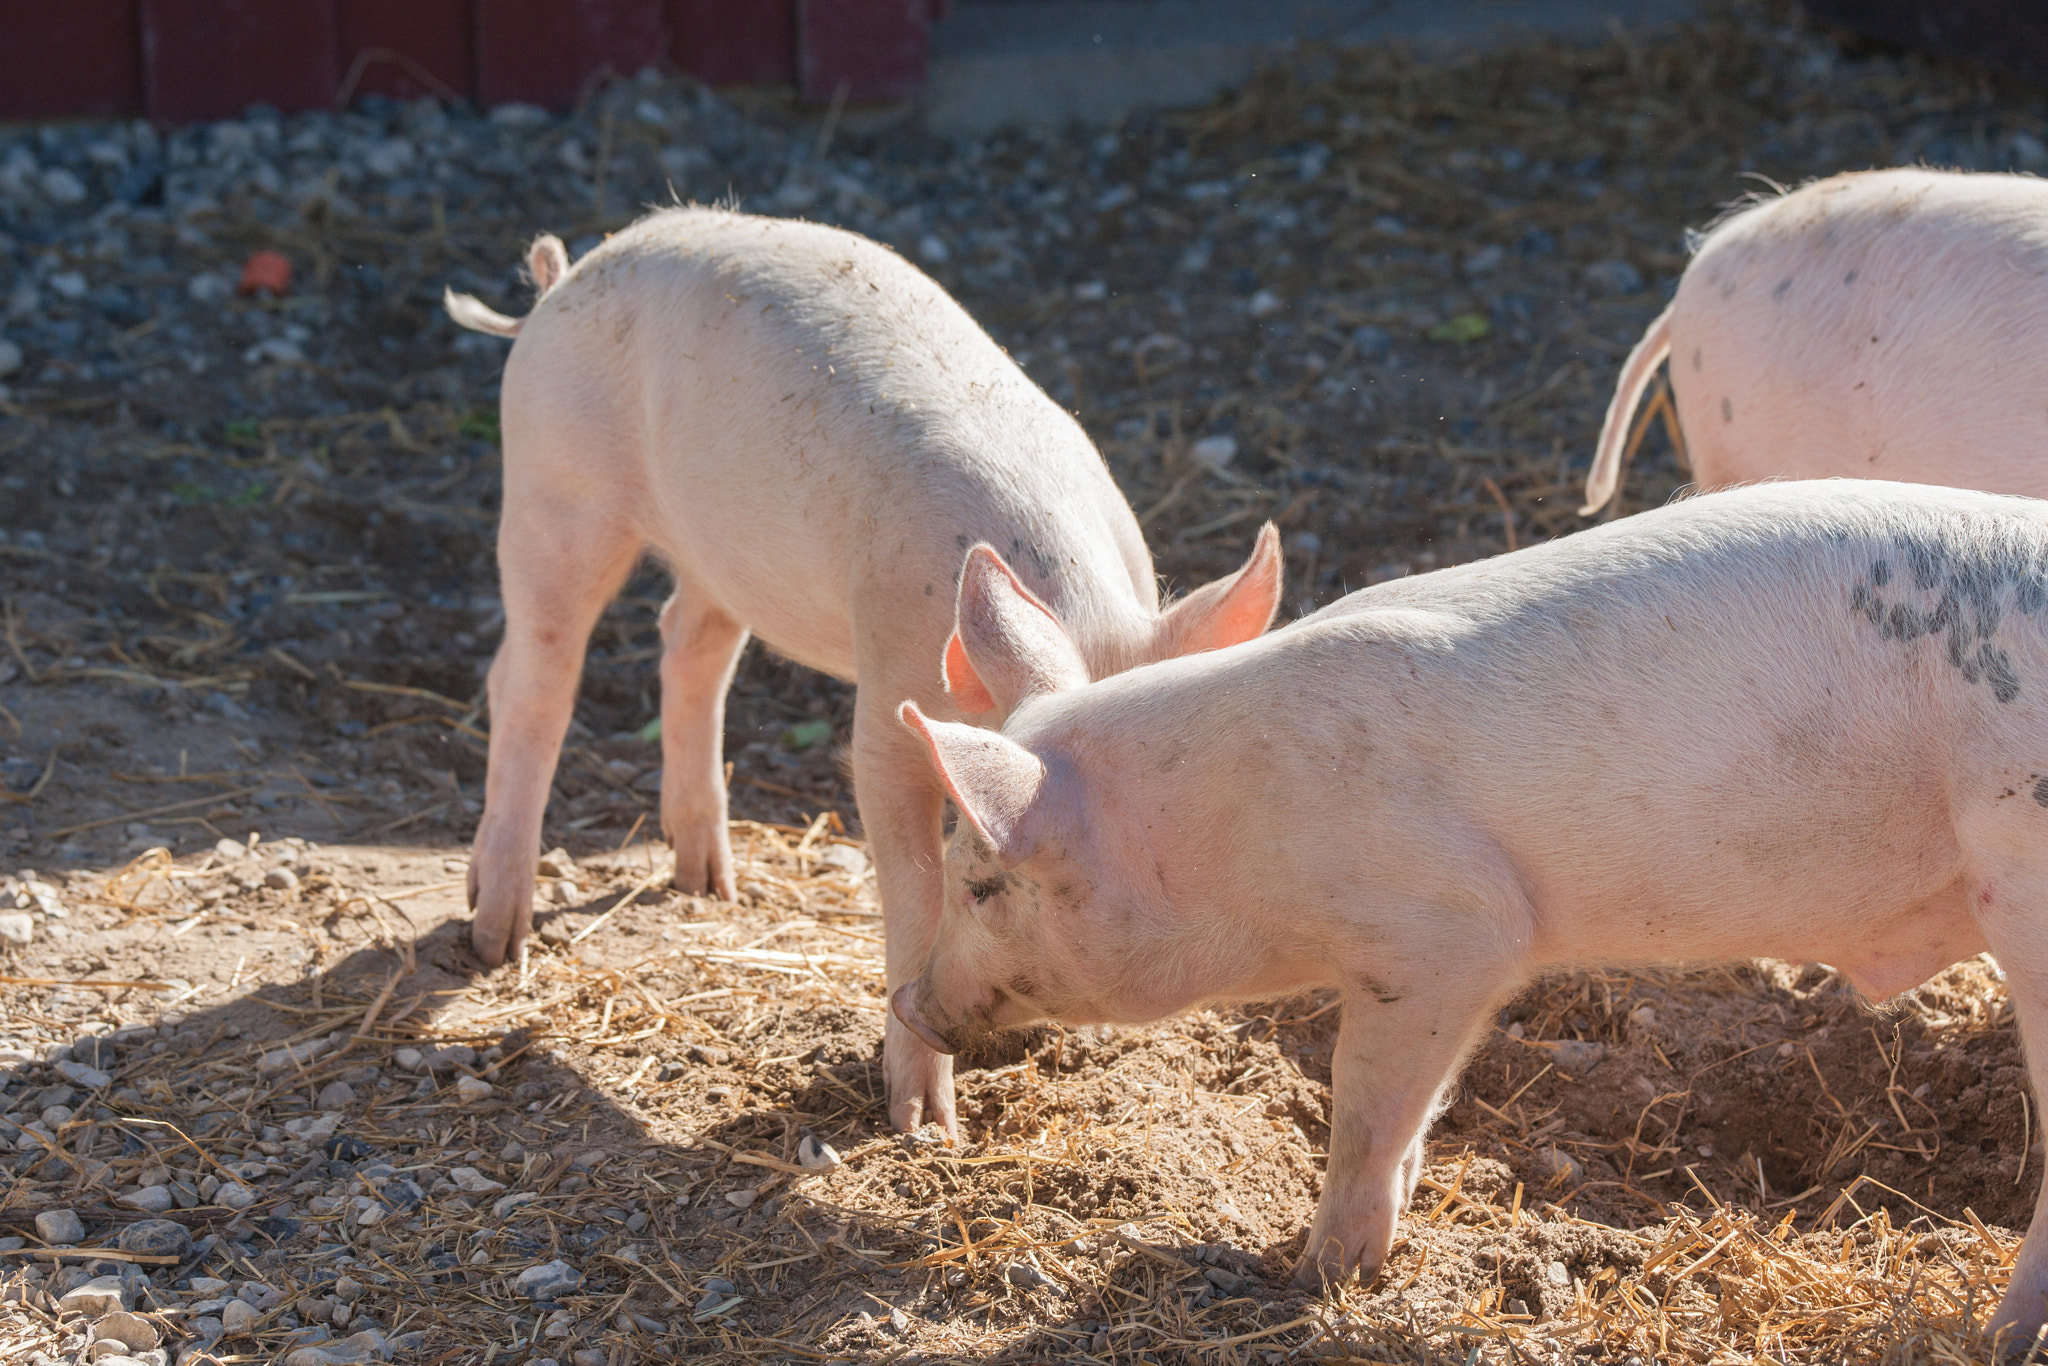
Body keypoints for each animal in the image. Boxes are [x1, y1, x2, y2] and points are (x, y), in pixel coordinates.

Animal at [448, 210, 1286, 1130]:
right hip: (552, 485)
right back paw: (496, 937)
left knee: (687, 641)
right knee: (531, 678)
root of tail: (561, 284)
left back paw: (712, 885)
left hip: (722, 552)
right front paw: (925, 1124)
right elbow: (912, 885)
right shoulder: (887, 702)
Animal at [901, 475, 2048, 1343]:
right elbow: (1413, 1116)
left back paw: (1992, 1338)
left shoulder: (1443, 934)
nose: (914, 1003)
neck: (1224, 835)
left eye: (981, 884)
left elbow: (1365, 1110)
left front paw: (1315, 1280)